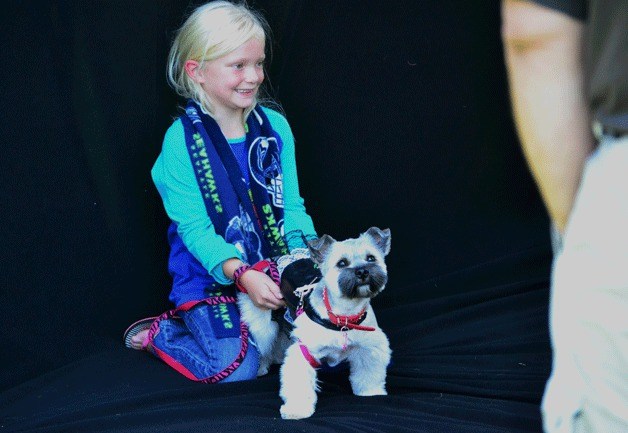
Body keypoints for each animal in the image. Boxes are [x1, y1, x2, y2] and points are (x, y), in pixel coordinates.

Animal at [238, 226, 390, 418]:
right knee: (264, 347)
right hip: (263, 325)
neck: (343, 316)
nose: (362, 271)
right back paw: (261, 367)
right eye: (342, 263)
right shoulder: (304, 352)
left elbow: (369, 373)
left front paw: (370, 392)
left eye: (371, 258)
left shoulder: (369, 348)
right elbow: (299, 382)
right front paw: (296, 409)